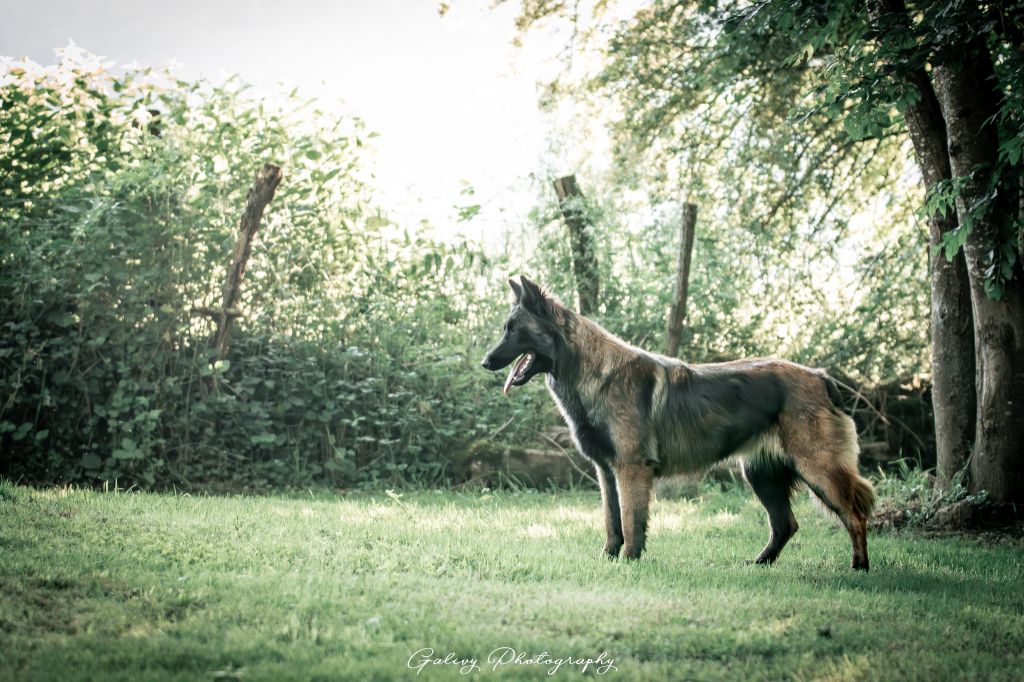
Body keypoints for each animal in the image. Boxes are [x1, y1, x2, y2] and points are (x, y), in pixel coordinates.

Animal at [479, 276, 872, 569]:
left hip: (816, 468)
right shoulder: (607, 472)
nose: (485, 362)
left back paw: (859, 567)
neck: (592, 372)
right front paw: (608, 558)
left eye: (513, 330)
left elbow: (631, 520)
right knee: (785, 524)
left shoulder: (631, 468)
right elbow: (611, 521)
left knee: (854, 514)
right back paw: (759, 563)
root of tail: (821, 376)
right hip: (761, 475)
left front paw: (629, 560)